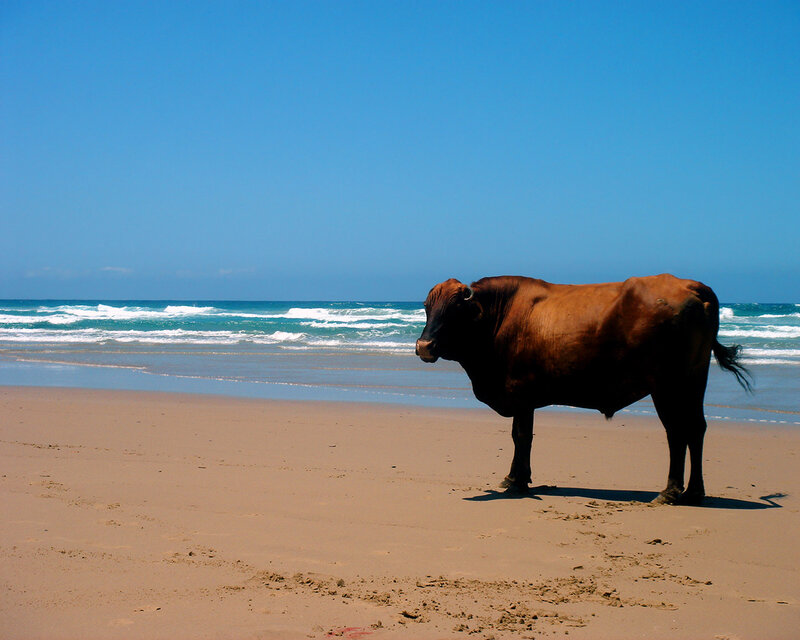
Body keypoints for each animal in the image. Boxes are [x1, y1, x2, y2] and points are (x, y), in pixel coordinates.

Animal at [415, 274, 751, 505]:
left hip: (668, 385)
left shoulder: (521, 394)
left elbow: (521, 437)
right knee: (696, 429)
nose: (424, 346)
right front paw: (514, 477)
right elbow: (520, 437)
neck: (499, 317)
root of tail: (691, 284)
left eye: (454, 310)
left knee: (677, 432)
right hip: (694, 380)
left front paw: (517, 482)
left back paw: (670, 491)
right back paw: (694, 492)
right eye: (427, 307)